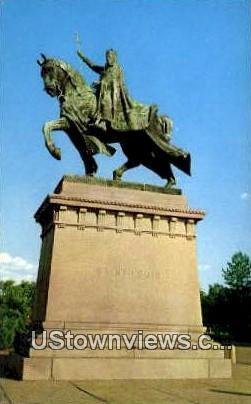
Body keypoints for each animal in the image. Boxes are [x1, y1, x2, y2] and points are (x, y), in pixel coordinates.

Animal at [37, 53, 190, 186]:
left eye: (50, 69)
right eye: (42, 73)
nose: (49, 89)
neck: (77, 94)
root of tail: (160, 118)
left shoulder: (71, 123)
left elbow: (47, 126)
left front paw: (55, 152)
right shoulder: (71, 127)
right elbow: (81, 148)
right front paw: (90, 171)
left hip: (145, 143)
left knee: (160, 157)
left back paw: (168, 182)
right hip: (134, 145)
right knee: (142, 160)